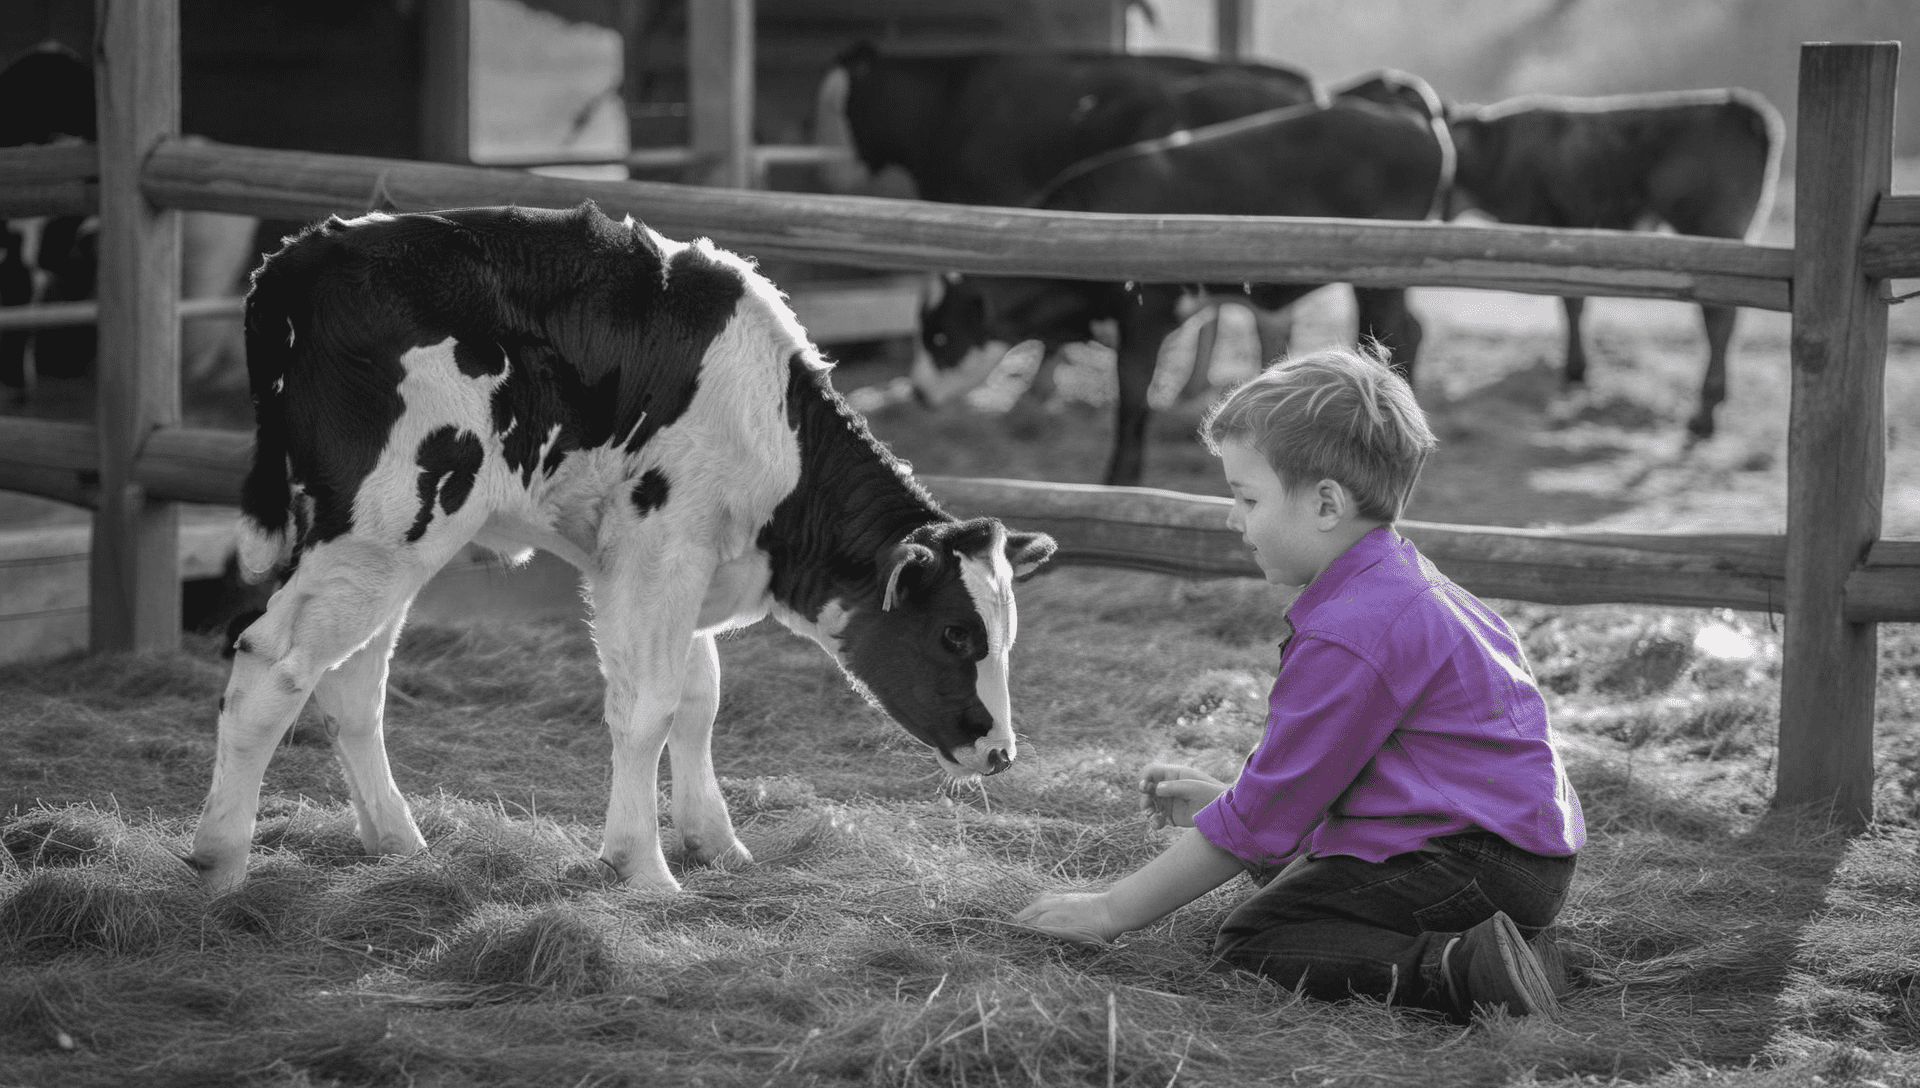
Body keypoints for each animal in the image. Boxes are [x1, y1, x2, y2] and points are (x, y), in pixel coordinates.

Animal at [185, 203, 1057, 894]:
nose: (1002, 753)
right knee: (274, 659)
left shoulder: (676, 564)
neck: (775, 433)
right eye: (955, 634)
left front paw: (714, 840)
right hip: (387, 524)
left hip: (391, 547)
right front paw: (641, 865)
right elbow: (649, 707)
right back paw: (220, 860)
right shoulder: (659, 551)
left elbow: (699, 700)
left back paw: (397, 841)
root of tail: (305, 252)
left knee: (349, 683)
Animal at [917, 73, 1452, 487]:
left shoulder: (1144, 323)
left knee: (1395, 334)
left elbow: (1133, 406)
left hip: (1380, 279)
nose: (917, 394)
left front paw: (1119, 482)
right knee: (1412, 329)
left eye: (942, 337)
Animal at [1444, 88, 1784, 438]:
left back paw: (1704, 413)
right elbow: (1574, 302)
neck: (1496, 150)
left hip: (1712, 230)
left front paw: (1575, 368)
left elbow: (1571, 302)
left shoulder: (1555, 228)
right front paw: (1575, 368)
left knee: (1718, 317)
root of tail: (1739, 106)